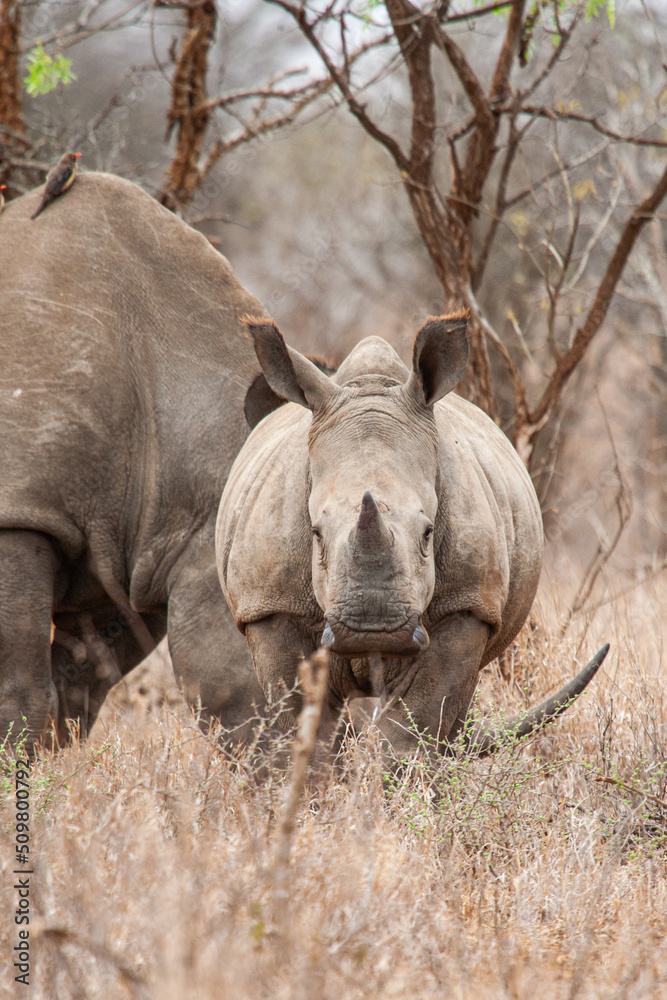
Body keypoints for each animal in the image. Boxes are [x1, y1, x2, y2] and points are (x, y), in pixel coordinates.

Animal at [216, 315, 607, 757]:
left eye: (427, 533)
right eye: (315, 534)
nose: (371, 628)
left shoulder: (469, 603)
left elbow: (415, 724)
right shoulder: (270, 606)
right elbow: (299, 726)